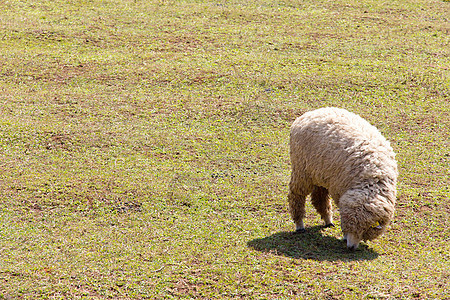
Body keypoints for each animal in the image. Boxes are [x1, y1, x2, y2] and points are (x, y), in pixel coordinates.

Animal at [288, 106, 398, 250]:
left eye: (364, 230)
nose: (350, 247)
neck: (373, 176)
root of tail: (310, 113)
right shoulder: (339, 190)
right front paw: (345, 236)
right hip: (302, 170)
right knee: (296, 195)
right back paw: (299, 224)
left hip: (321, 173)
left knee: (319, 197)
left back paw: (328, 220)